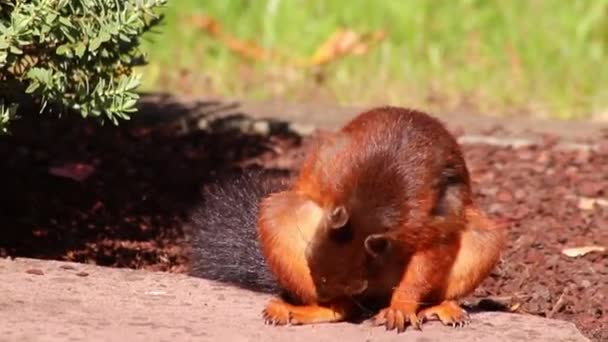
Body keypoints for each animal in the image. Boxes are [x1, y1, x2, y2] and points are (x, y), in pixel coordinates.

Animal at [254, 106, 506, 332]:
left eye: (356, 282)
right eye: (309, 258)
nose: (323, 296)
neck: (371, 208)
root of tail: (374, 299)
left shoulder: (435, 219)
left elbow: (428, 260)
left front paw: (401, 307)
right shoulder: (330, 173)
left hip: (483, 241)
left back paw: (439, 308)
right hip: (276, 217)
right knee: (345, 310)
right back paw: (305, 309)